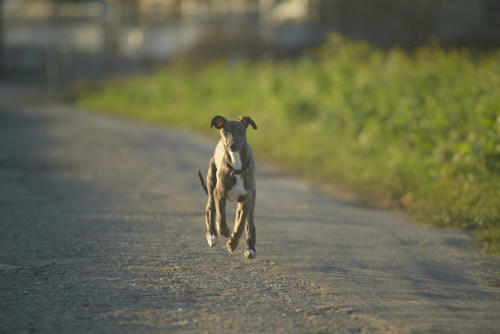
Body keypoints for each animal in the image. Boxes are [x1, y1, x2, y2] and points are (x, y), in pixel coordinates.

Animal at [197, 115, 258, 258]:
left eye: (240, 130)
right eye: (225, 132)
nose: (232, 145)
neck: (236, 168)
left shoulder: (245, 199)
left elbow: (240, 224)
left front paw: (233, 243)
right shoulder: (219, 193)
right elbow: (220, 216)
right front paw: (224, 232)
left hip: (252, 199)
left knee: (249, 223)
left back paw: (250, 248)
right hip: (211, 182)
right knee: (210, 208)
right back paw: (212, 235)